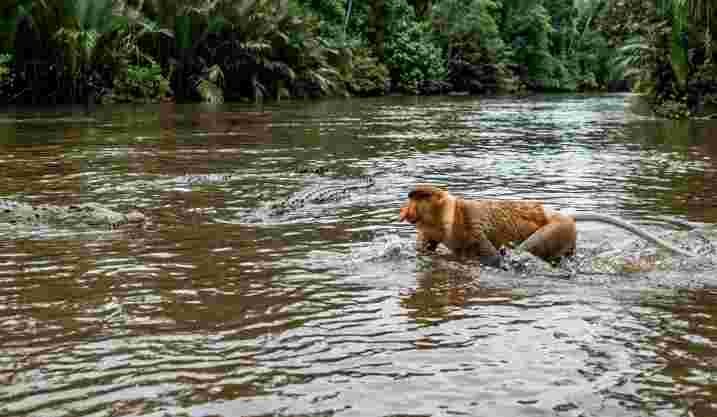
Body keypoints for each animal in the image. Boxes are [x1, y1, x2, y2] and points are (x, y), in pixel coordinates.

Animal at [398, 185, 699, 267]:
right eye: (411, 197)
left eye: (419, 197)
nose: (405, 212)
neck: (448, 213)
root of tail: (560, 214)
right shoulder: (431, 231)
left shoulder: (471, 226)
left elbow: (491, 257)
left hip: (555, 229)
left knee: (526, 249)